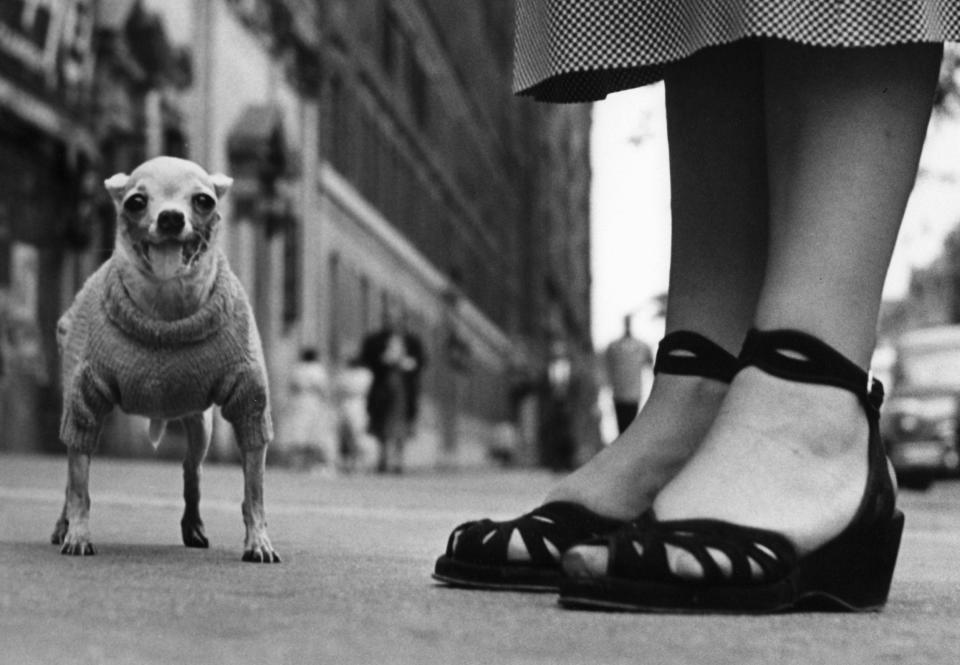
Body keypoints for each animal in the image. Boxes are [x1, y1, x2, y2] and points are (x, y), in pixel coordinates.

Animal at [52, 156, 280, 560]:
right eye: (136, 202)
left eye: (203, 200)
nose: (171, 217)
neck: (166, 305)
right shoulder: (83, 404)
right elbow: (79, 484)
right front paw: (77, 533)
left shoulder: (250, 404)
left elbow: (254, 491)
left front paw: (258, 540)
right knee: (71, 476)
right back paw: (63, 526)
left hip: (200, 424)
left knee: (192, 470)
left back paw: (194, 526)